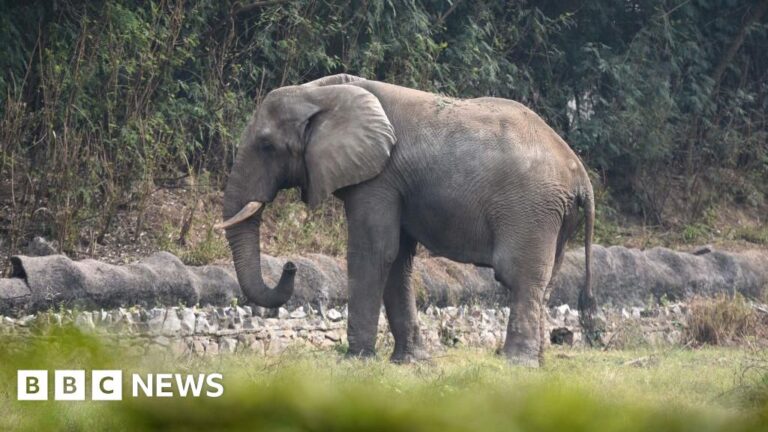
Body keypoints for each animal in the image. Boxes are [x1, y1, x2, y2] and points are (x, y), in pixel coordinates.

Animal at [216, 74, 600, 367]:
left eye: (266, 145)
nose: (291, 266)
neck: (322, 90)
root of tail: (579, 172)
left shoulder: (379, 178)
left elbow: (374, 252)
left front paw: (355, 361)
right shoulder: (394, 183)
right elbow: (397, 259)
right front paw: (410, 362)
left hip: (531, 209)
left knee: (520, 277)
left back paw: (515, 364)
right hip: (553, 215)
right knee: (546, 280)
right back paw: (537, 362)